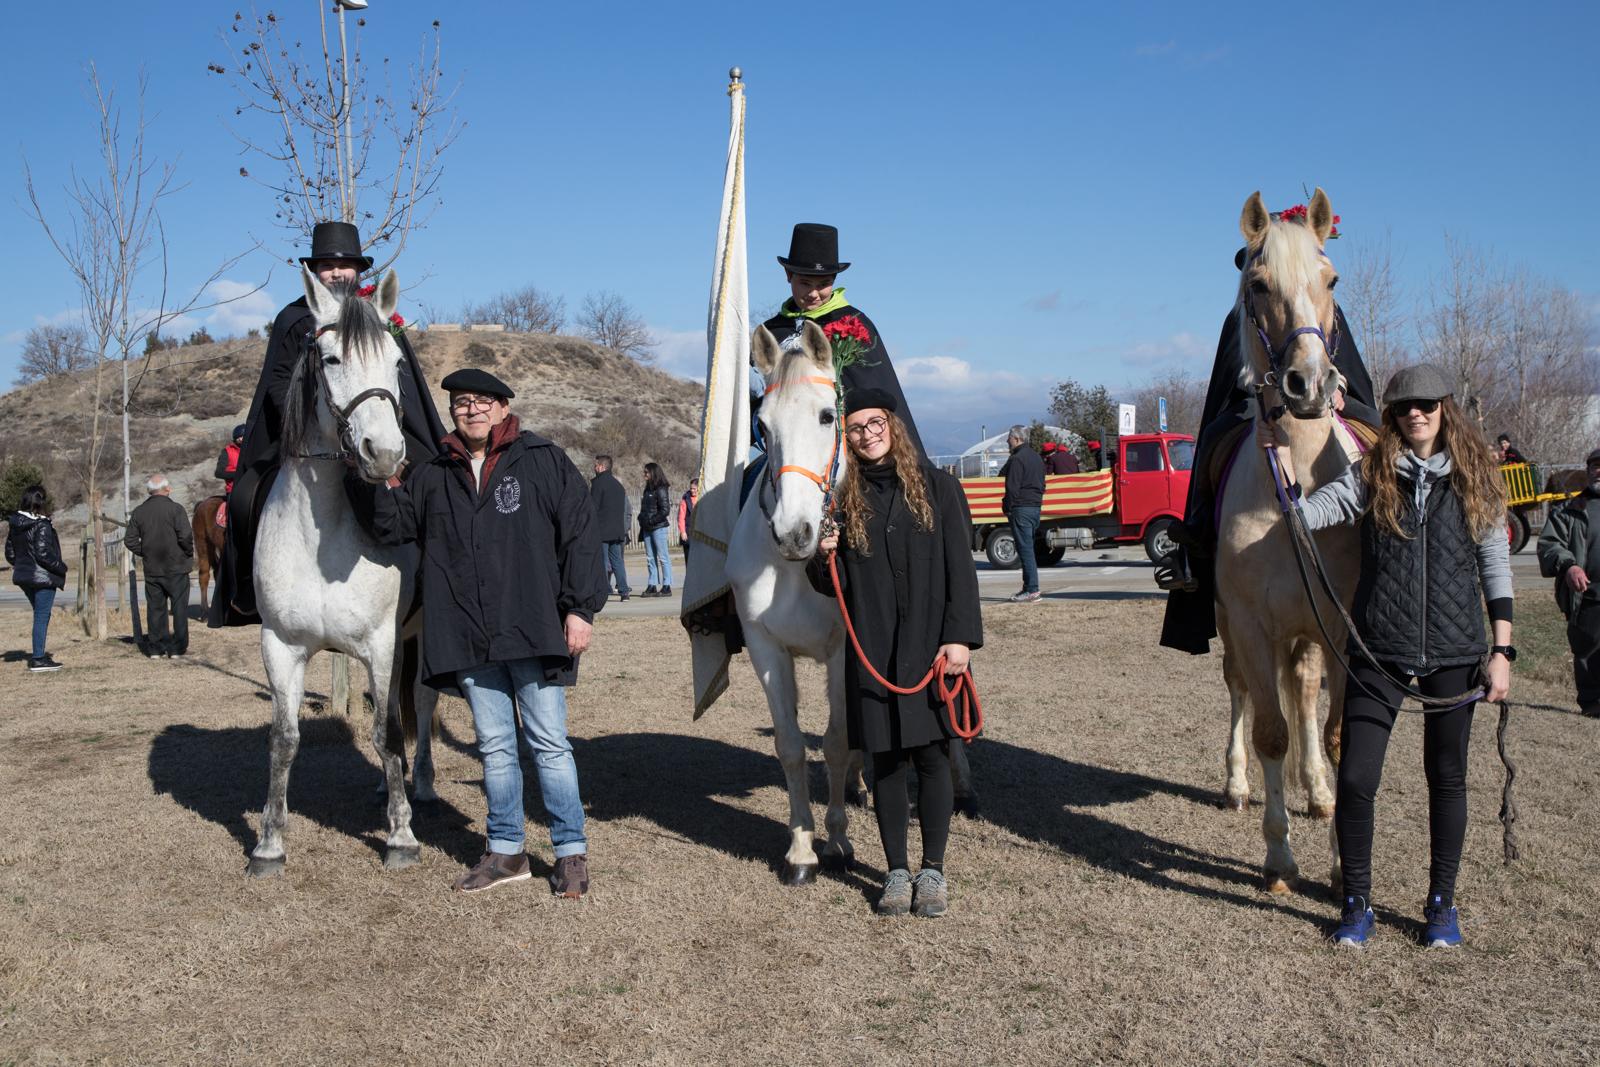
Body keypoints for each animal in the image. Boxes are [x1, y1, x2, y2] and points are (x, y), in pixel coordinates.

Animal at [244, 267, 435, 876]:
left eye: (396, 362)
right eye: (329, 358)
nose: (385, 454)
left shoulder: (381, 643)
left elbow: (387, 731)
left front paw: (402, 836)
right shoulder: (280, 646)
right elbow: (284, 738)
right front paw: (269, 843)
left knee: (419, 703)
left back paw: (420, 786)